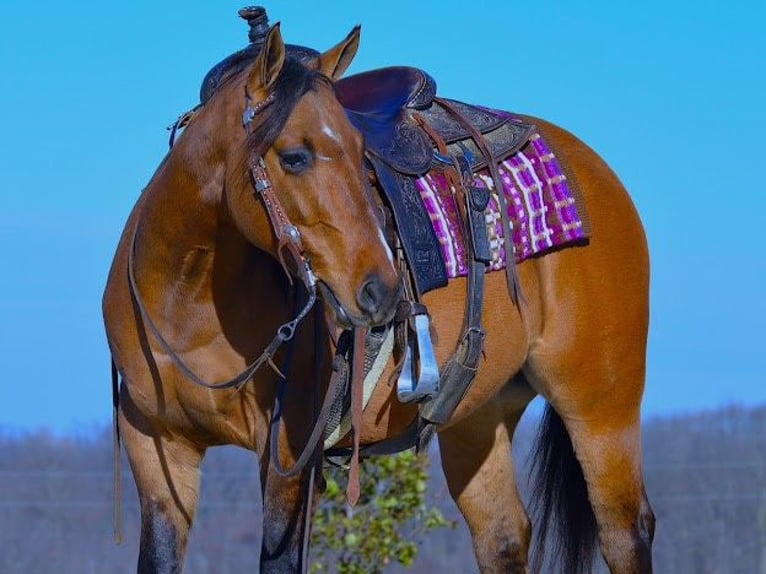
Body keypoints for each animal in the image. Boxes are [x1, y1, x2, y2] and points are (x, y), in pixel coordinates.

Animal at [100, 9, 656, 574]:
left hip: (600, 405)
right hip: (480, 414)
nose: (382, 290)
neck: (186, 304)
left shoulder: (287, 460)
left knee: (624, 531)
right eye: (294, 157)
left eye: (360, 150)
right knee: (503, 536)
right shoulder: (159, 454)